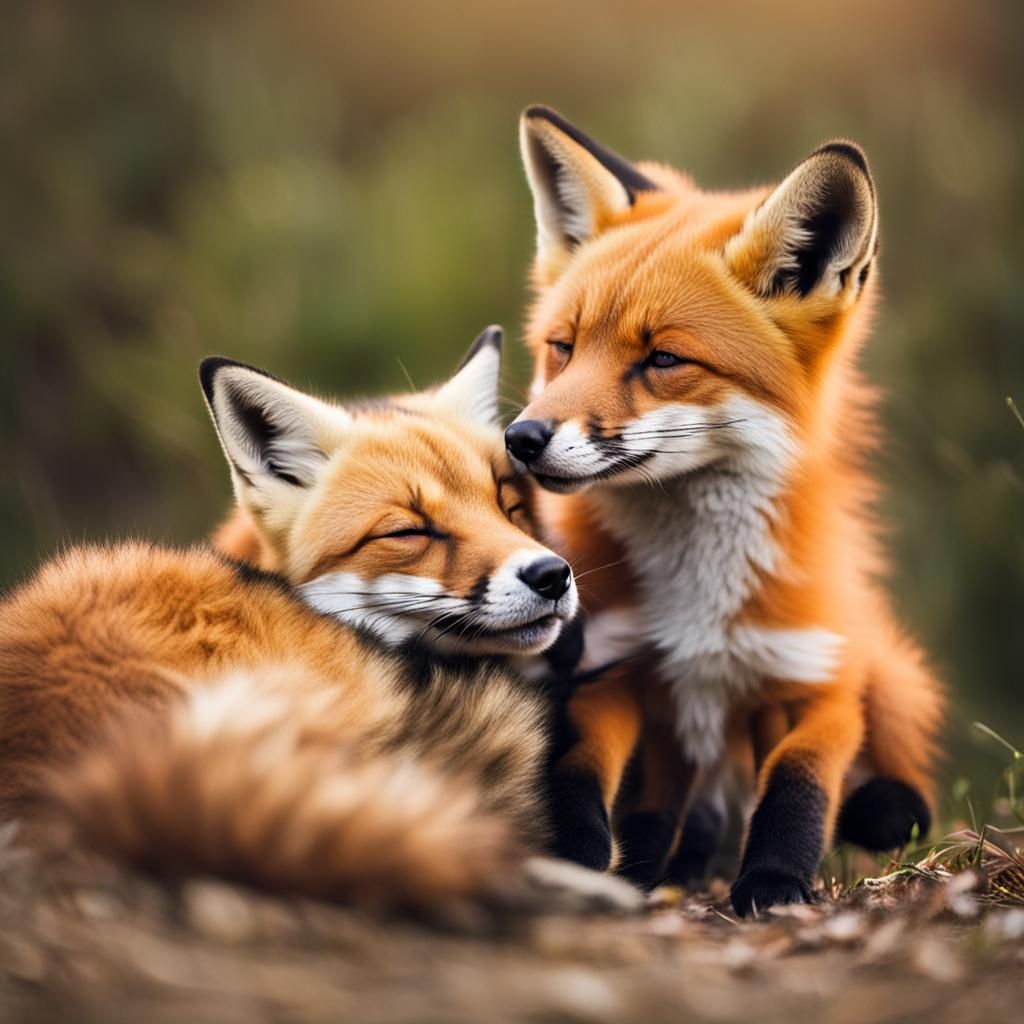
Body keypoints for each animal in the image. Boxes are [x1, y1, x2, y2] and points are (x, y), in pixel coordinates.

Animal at [503, 106, 946, 915]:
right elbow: (578, 778)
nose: (521, 440)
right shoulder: (607, 670)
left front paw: (774, 882)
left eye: (663, 359)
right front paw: (576, 862)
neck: (701, 601)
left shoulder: (818, 680)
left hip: (892, 674)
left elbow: (798, 786)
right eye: (562, 347)